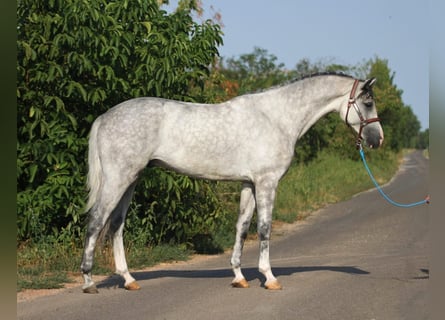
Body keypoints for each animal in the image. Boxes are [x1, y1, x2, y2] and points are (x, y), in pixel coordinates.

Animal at [80, 72, 382, 292]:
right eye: (367, 103)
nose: (377, 140)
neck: (277, 117)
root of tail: (104, 117)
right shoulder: (267, 182)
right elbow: (263, 229)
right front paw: (269, 278)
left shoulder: (249, 183)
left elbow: (242, 227)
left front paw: (239, 276)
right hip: (119, 178)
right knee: (96, 222)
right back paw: (88, 281)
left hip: (131, 179)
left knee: (116, 226)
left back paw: (129, 280)